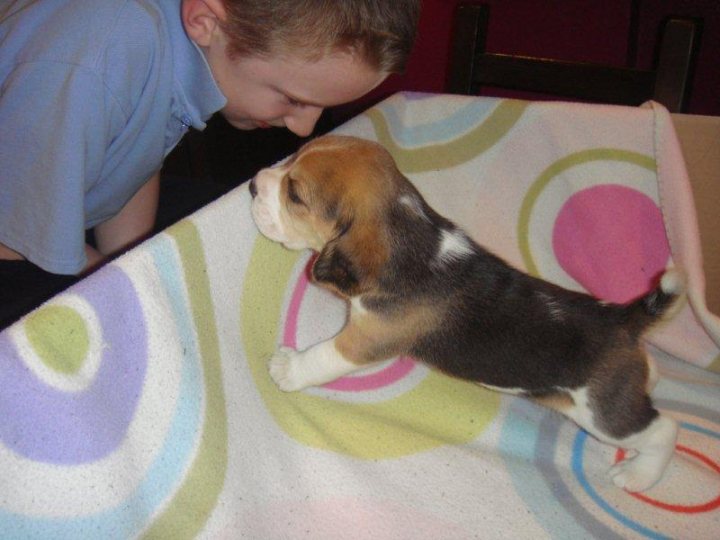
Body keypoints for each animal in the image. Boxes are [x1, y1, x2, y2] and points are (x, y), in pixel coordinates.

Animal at [250, 135, 684, 494]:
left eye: (294, 195)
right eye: (294, 156)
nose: (254, 183)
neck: (412, 236)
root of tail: (623, 319)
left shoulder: (367, 340)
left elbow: (325, 356)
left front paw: (288, 369)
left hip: (604, 415)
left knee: (664, 428)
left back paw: (640, 474)